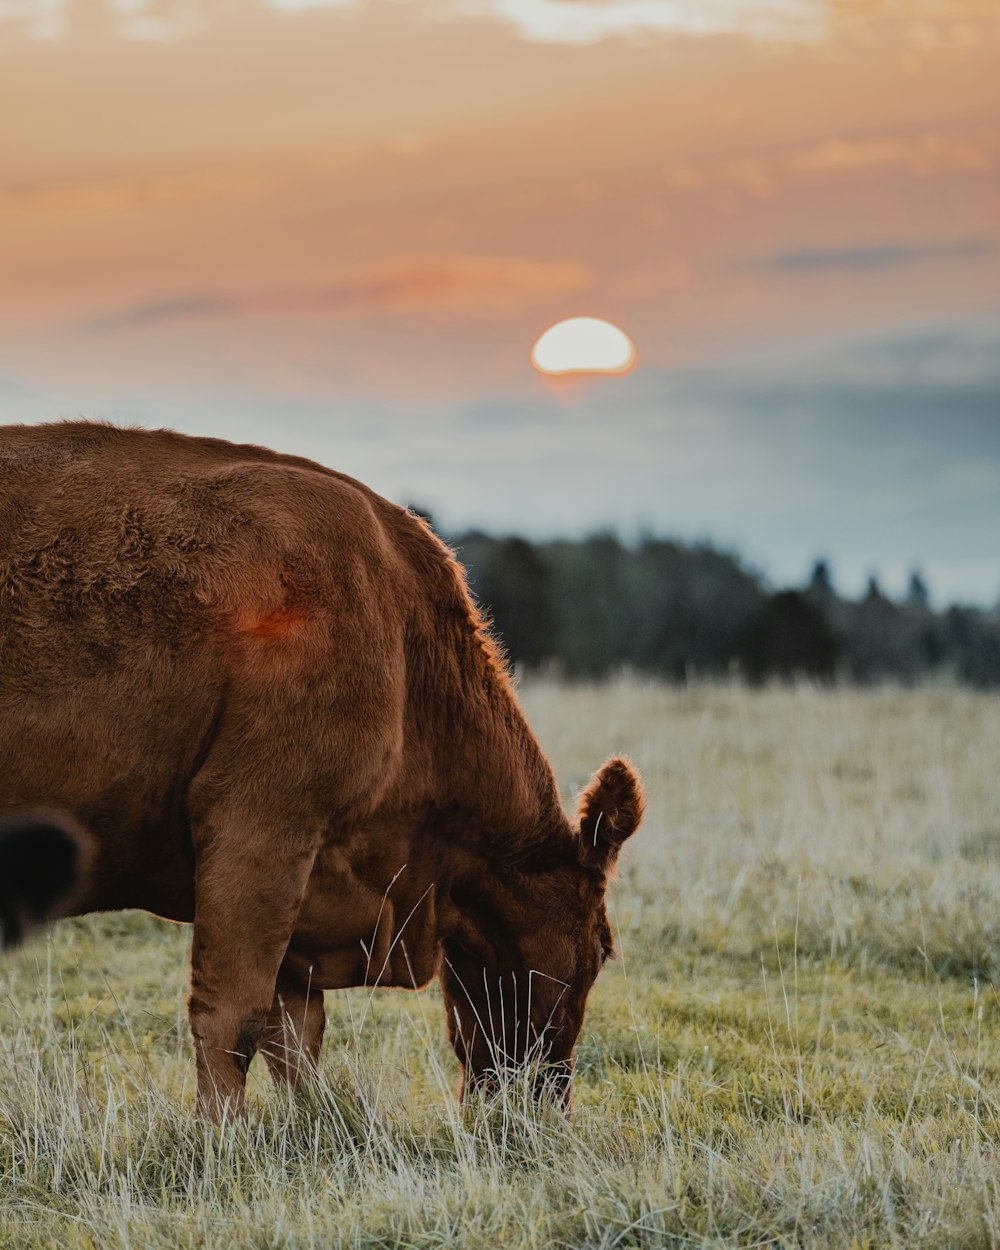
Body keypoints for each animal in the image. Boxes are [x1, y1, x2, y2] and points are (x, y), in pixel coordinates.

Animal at [0, 420, 645, 1115]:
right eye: (603, 949)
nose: (550, 1099)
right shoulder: (259, 828)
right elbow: (233, 1019)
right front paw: (218, 1134)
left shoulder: (300, 889)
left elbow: (296, 1034)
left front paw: (311, 1122)